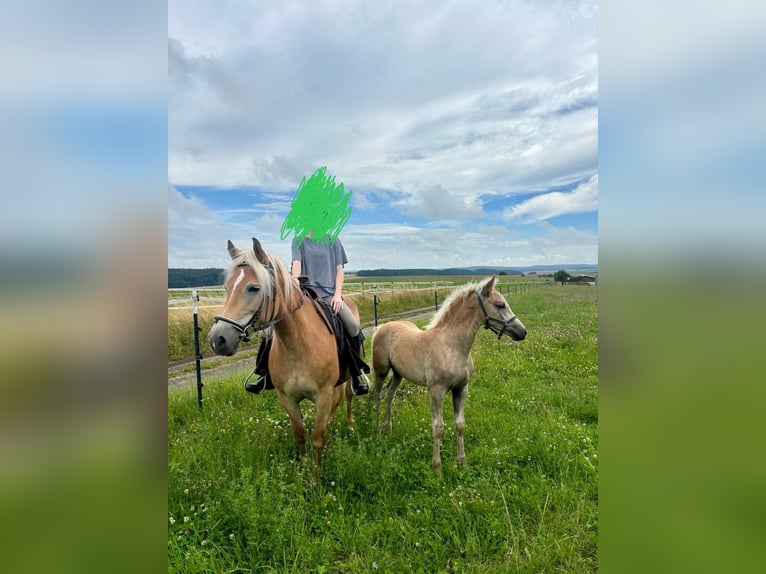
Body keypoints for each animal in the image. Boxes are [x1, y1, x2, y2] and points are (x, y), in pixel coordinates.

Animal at [207, 238, 356, 468]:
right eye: (227, 287)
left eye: (254, 288)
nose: (217, 339)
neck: (297, 344)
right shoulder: (287, 398)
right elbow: (300, 435)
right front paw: (303, 469)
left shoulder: (322, 396)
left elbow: (317, 438)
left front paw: (315, 474)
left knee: (348, 396)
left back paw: (349, 424)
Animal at [372, 276, 528, 480]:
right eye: (500, 304)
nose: (522, 332)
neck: (451, 346)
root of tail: (382, 326)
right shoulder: (436, 392)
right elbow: (438, 428)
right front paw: (438, 470)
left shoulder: (461, 389)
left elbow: (459, 425)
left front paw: (462, 463)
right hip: (381, 370)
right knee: (377, 396)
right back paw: (378, 434)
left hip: (398, 374)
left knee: (390, 395)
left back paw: (389, 430)